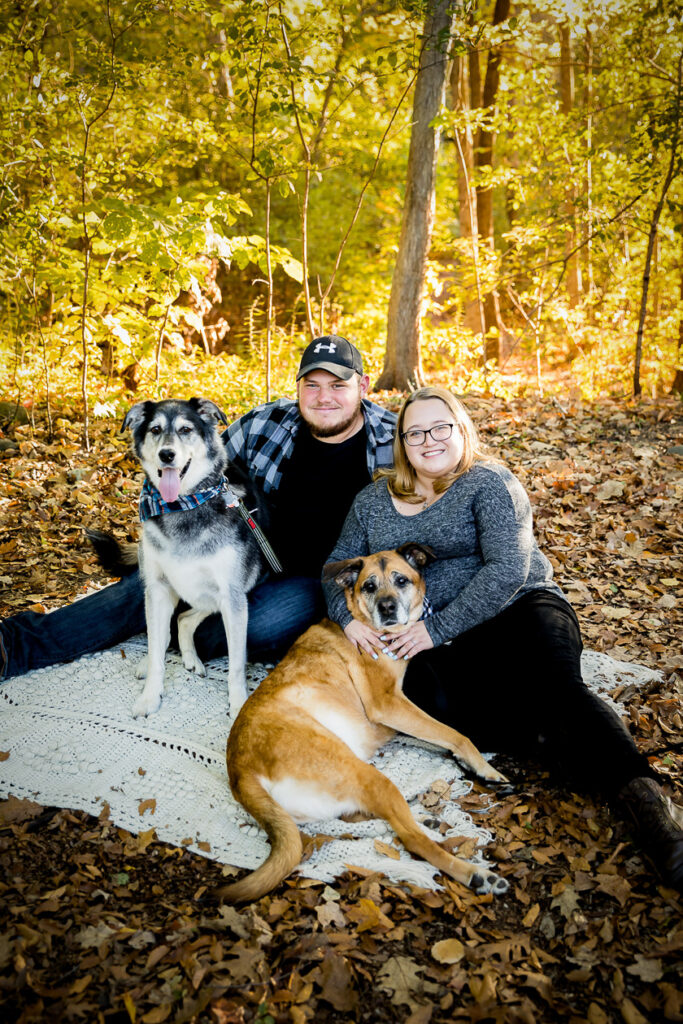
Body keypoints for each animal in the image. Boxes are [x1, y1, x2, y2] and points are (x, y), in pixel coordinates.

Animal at [92, 395, 266, 716]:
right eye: (155, 429)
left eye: (186, 429)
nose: (167, 455)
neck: (184, 505)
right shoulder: (158, 589)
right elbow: (156, 648)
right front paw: (151, 696)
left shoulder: (233, 596)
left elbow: (236, 664)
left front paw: (239, 705)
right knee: (173, 627)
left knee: (184, 619)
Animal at [222, 540, 509, 901]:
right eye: (369, 586)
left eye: (401, 580)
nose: (387, 608)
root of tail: (240, 774)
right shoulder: (388, 705)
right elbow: (455, 733)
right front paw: (485, 767)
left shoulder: (393, 718)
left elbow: (436, 736)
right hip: (368, 776)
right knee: (411, 839)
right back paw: (475, 874)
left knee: (363, 816)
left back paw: (423, 819)